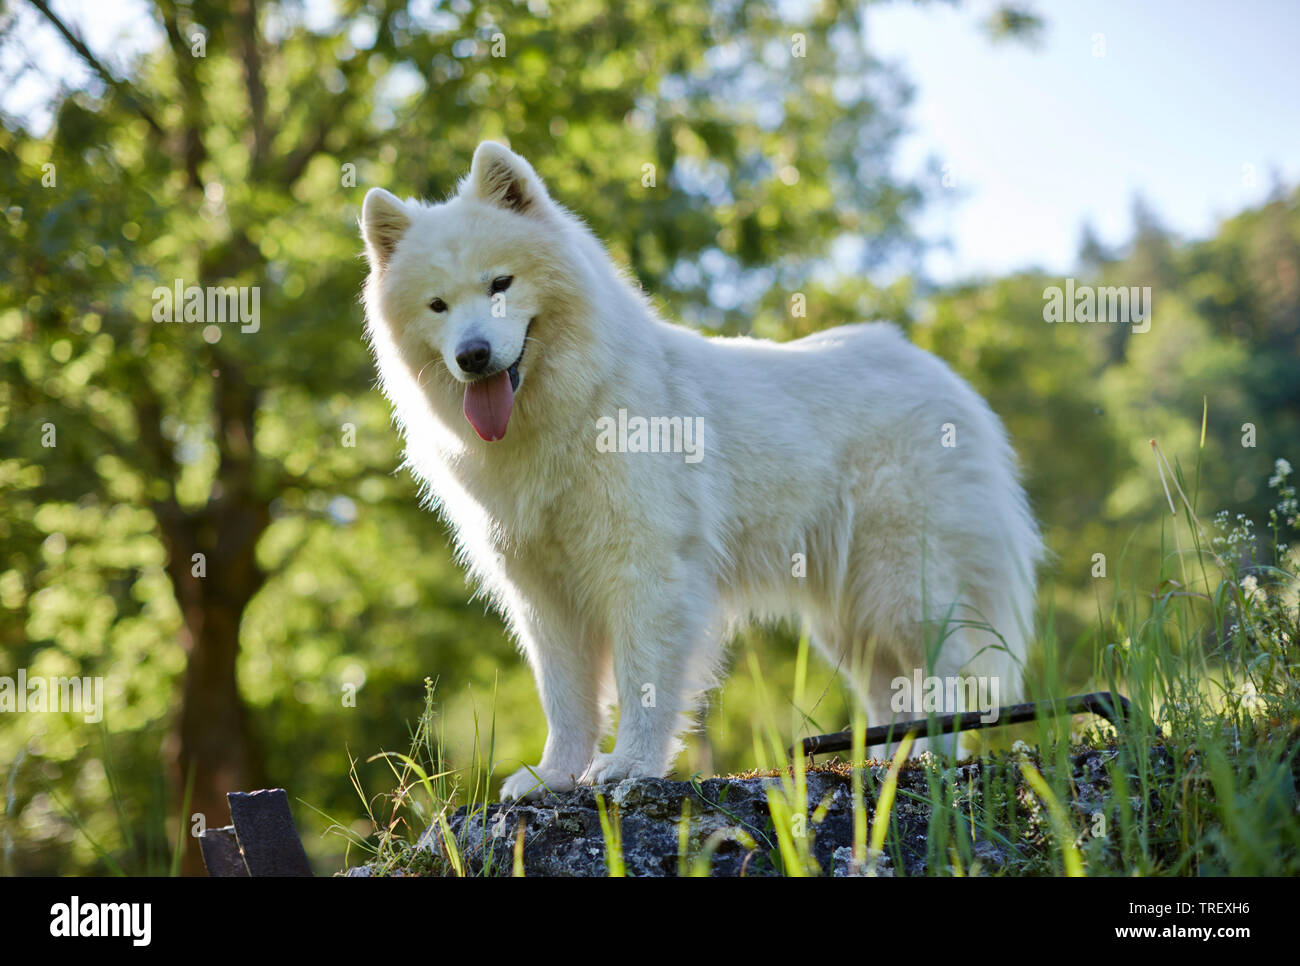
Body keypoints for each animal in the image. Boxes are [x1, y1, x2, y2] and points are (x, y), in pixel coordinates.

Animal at [358, 137, 1045, 800]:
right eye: (438, 305)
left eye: (500, 283)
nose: (473, 356)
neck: (570, 410)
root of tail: (941, 375)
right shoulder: (543, 593)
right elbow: (566, 698)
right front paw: (553, 776)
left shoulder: (646, 569)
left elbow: (642, 682)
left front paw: (628, 767)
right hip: (848, 610)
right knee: (889, 689)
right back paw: (885, 763)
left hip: (902, 585)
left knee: (940, 678)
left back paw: (930, 759)